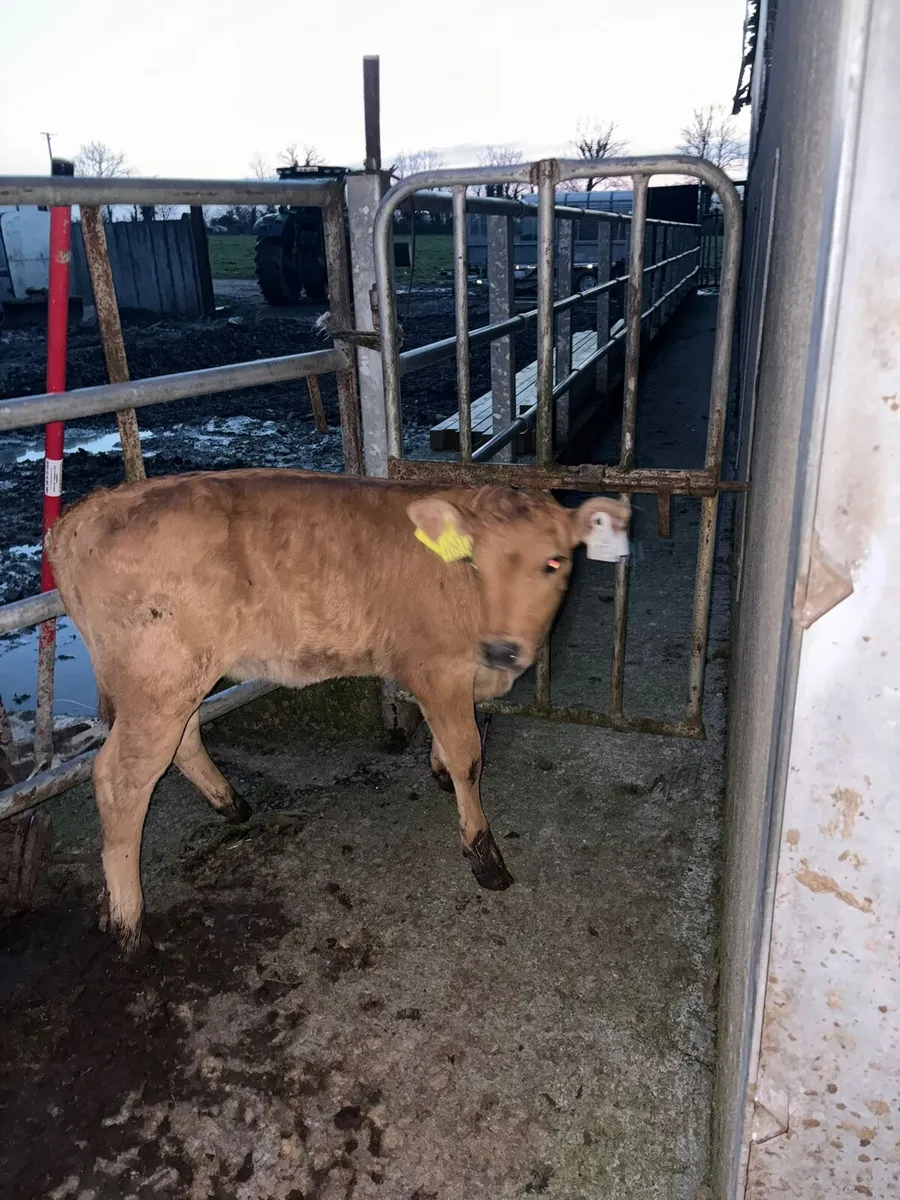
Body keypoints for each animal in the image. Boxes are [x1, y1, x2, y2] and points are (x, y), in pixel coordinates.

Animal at [47, 470, 630, 955]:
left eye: (554, 562)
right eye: (473, 563)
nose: (504, 650)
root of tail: (86, 512)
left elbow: (450, 742)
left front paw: (438, 768)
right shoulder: (436, 667)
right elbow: (468, 754)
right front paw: (484, 856)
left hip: (178, 679)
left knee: (184, 740)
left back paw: (232, 805)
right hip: (158, 680)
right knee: (120, 780)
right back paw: (128, 923)